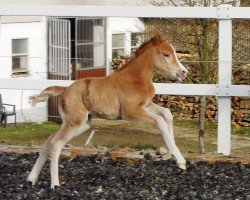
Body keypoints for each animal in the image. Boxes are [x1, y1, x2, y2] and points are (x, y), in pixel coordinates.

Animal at [27, 31, 188, 189]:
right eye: (166, 54)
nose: (183, 72)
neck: (135, 79)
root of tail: (64, 89)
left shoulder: (146, 105)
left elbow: (167, 114)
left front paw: (173, 156)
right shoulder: (131, 112)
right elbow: (160, 121)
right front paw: (180, 160)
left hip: (82, 124)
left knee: (50, 139)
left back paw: (31, 179)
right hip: (75, 122)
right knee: (56, 143)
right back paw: (54, 184)